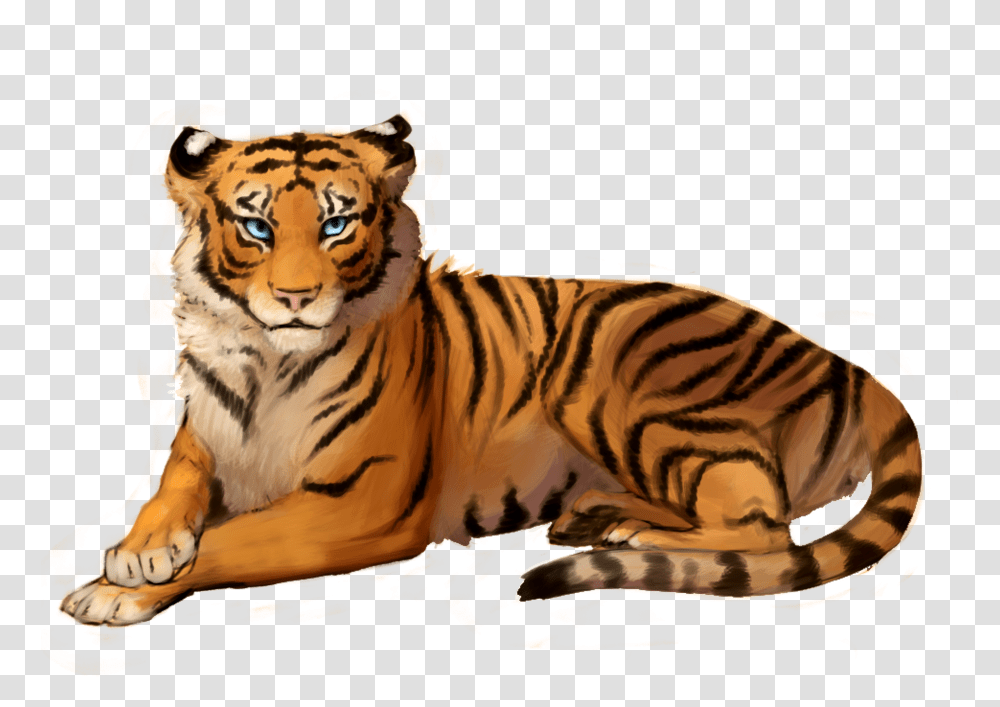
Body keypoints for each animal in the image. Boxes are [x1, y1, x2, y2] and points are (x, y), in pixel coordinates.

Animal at [61, 115, 922, 626]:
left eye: (338, 224)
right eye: (257, 224)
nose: (298, 298)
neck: (264, 359)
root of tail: (844, 363)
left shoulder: (364, 498)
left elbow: (230, 540)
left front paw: (113, 587)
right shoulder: (202, 442)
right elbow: (171, 494)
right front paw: (140, 548)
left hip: (613, 376)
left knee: (763, 524)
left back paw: (629, 526)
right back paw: (598, 514)